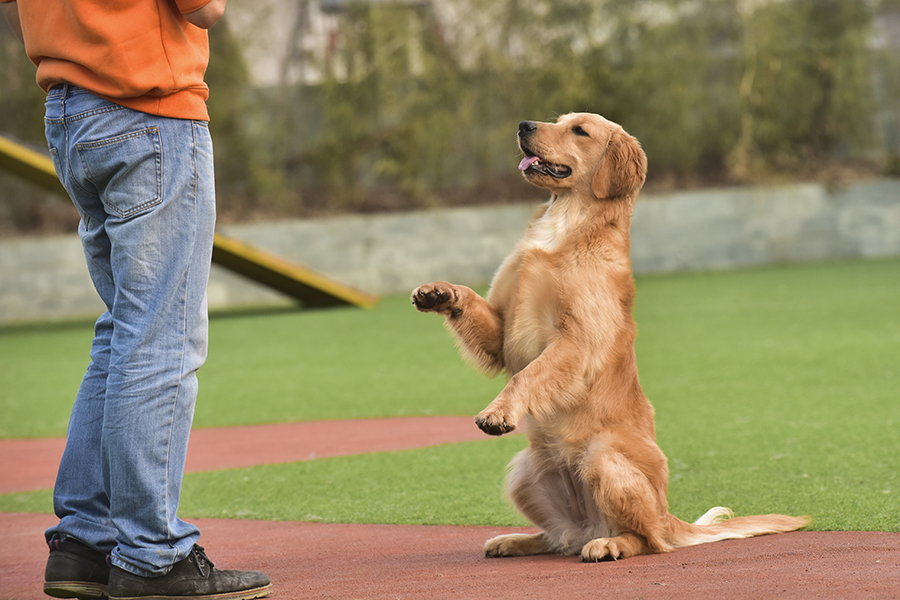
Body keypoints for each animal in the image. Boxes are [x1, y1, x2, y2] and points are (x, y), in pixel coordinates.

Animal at [412, 113, 804, 564]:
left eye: (579, 130)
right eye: (557, 119)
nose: (524, 124)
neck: (565, 226)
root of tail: (669, 516)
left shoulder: (576, 342)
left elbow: (526, 376)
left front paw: (498, 412)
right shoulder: (502, 330)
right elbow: (473, 305)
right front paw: (440, 292)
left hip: (602, 458)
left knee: (647, 540)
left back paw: (610, 544)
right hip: (525, 471)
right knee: (560, 537)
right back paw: (516, 540)